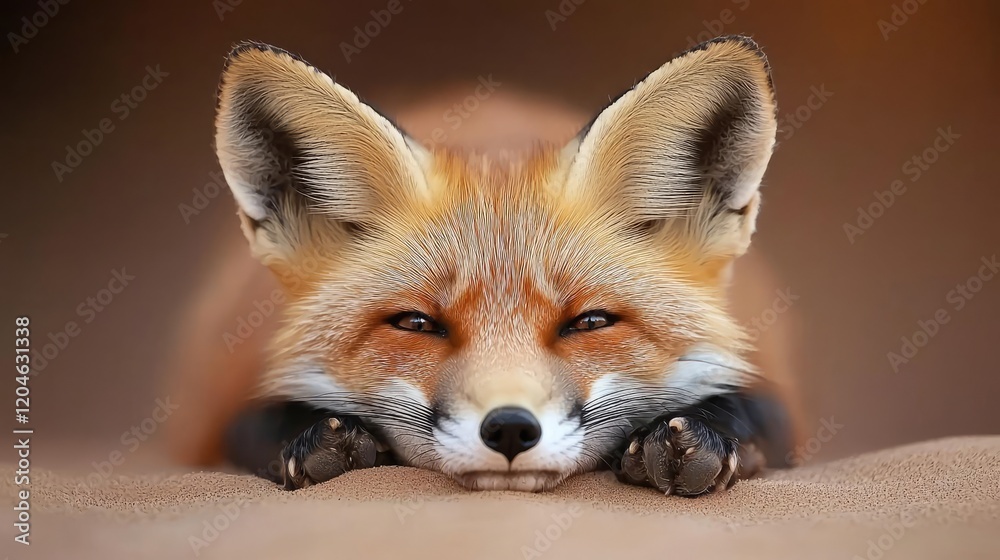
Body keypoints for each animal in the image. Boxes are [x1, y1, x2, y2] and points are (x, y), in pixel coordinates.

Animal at [168, 35, 799, 496]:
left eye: (590, 323)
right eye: (416, 324)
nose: (510, 428)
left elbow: (750, 412)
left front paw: (691, 435)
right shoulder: (224, 413)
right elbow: (258, 423)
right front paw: (313, 436)